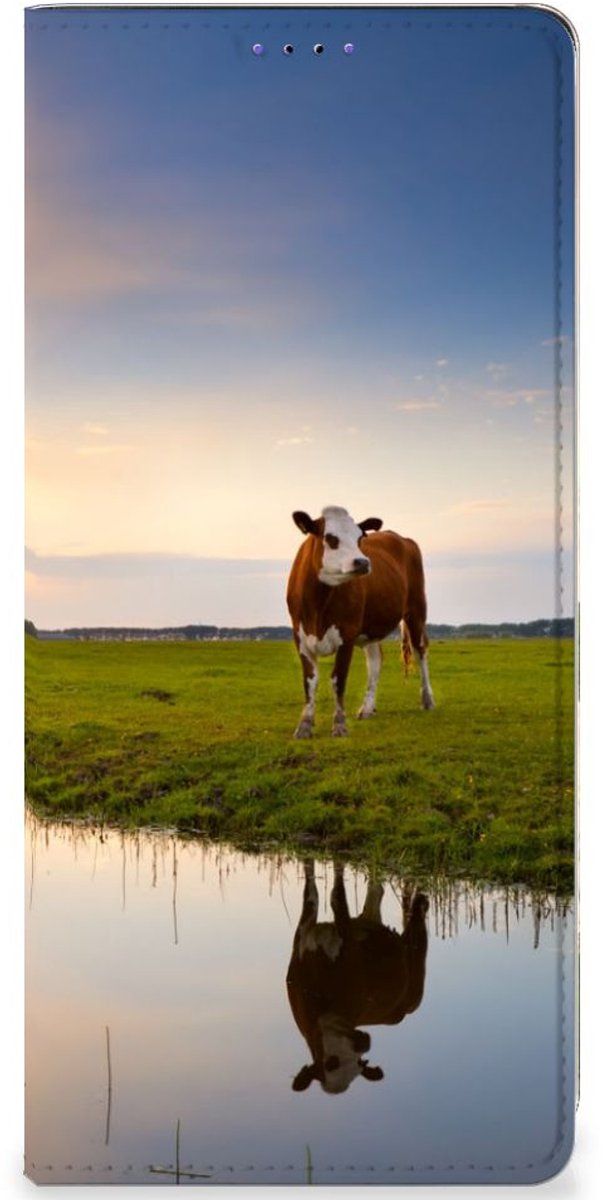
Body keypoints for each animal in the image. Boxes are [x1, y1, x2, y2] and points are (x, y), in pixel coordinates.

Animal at [286, 505, 434, 738]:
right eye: (330, 538)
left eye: (359, 538)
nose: (363, 562)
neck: (318, 604)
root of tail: (399, 537)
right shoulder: (300, 637)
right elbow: (310, 681)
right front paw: (304, 725)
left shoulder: (347, 635)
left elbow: (338, 679)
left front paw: (339, 725)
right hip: (370, 627)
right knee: (375, 660)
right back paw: (367, 708)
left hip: (416, 610)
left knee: (421, 651)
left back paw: (427, 699)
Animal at [286, 861, 429, 1094]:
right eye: (330, 1063)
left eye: (360, 1063)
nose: (364, 1043)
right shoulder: (303, 936)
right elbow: (311, 890)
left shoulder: (348, 944)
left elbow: (336, 896)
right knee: (376, 891)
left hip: (416, 981)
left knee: (417, 931)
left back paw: (421, 901)